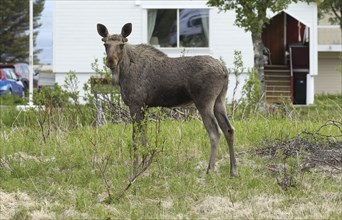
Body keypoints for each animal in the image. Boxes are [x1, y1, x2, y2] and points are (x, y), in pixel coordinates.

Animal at [95, 22, 236, 177]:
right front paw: (145, 167)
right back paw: (234, 171)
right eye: (105, 44)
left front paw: (135, 171)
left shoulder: (135, 104)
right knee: (229, 129)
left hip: (204, 102)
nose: (110, 61)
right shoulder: (144, 106)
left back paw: (210, 170)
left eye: (121, 44)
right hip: (220, 100)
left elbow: (135, 139)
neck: (122, 73)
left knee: (215, 133)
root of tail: (224, 70)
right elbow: (144, 138)